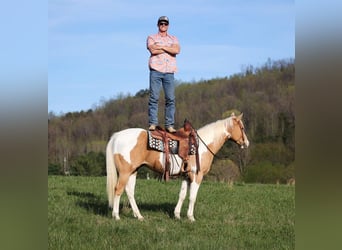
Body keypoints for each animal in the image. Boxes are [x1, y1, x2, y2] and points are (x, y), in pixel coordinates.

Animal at [106, 113, 248, 221]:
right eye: (242, 127)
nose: (246, 143)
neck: (202, 145)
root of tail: (117, 136)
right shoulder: (197, 175)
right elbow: (192, 197)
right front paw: (191, 217)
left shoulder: (186, 176)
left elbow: (182, 195)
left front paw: (177, 215)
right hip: (125, 172)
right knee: (118, 190)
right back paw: (116, 216)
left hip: (133, 171)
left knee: (129, 191)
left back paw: (139, 216)